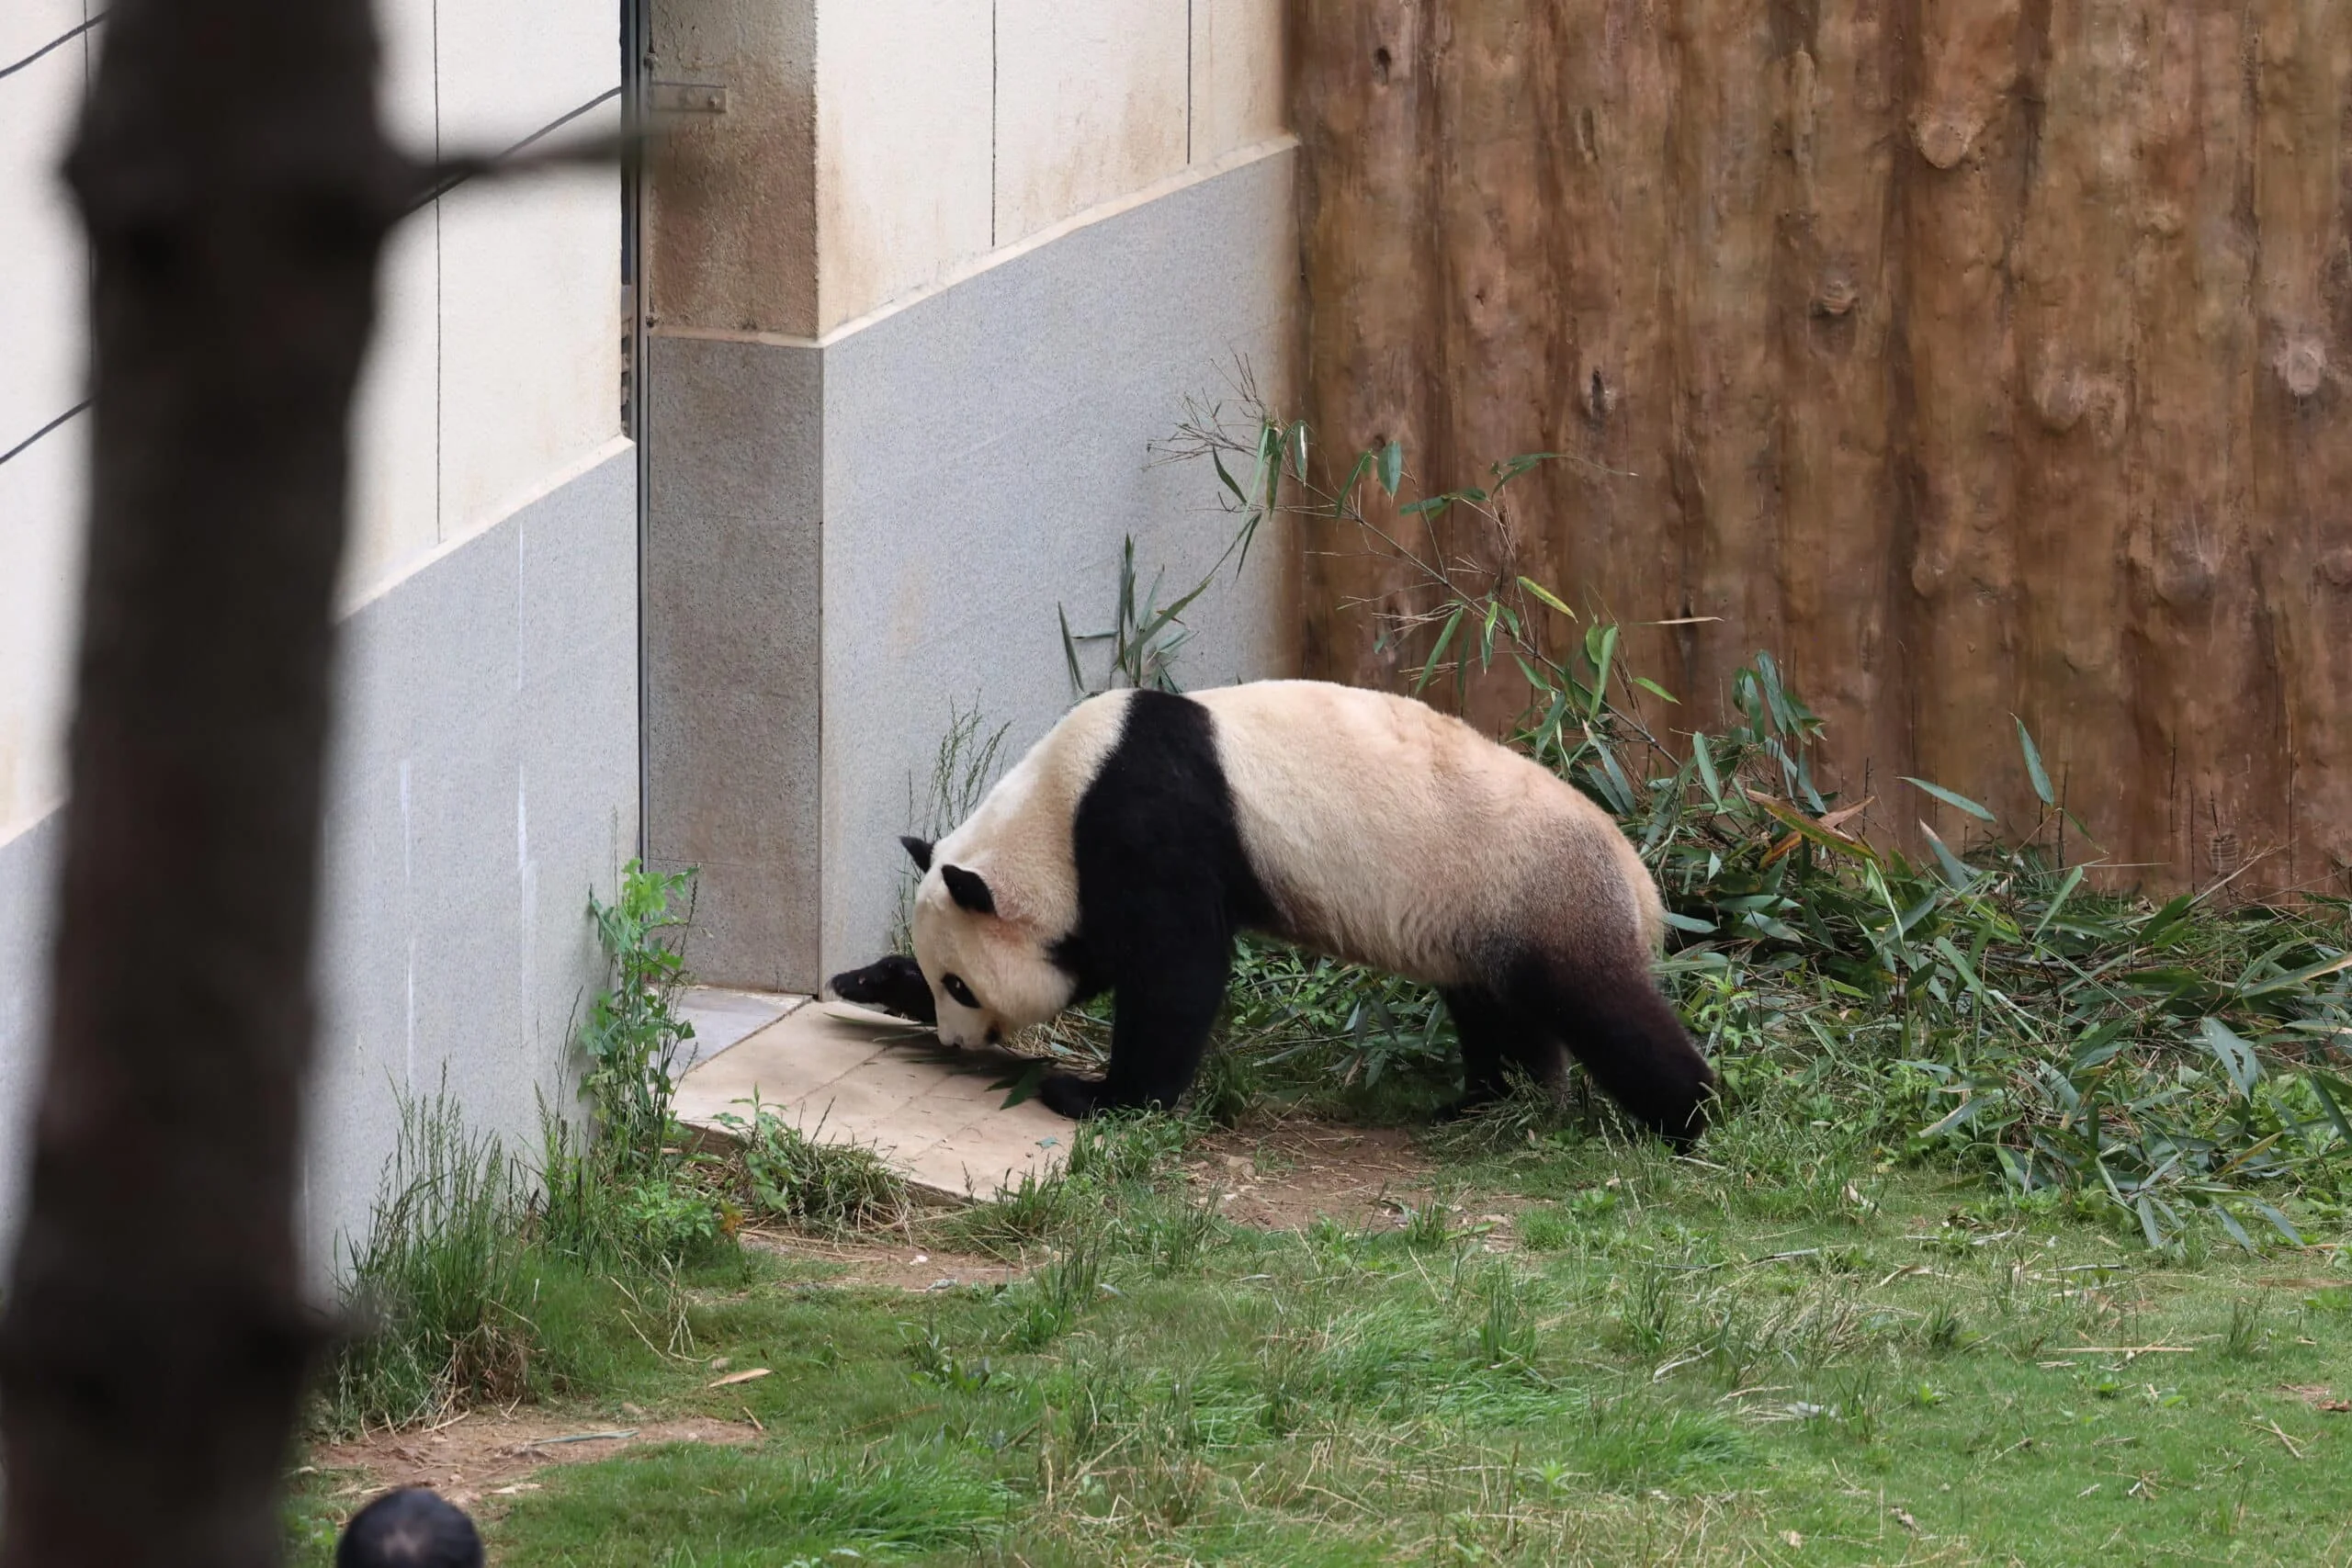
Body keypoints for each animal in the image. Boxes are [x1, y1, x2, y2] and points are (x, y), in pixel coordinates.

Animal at [829, 679, 1716, 1146]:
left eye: (965, 985)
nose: (955, 1040)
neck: (1057, 797)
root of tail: (1642, 883)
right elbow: (1101, 961)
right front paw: (870, 982)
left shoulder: (1152, 818)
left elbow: (1173, 970)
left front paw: (1097, 1096)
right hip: (1482, 915)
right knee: (1498, 1008)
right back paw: (1494, 1103)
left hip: (1539, 888)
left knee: (1602, 1007)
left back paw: (1689, 1118)